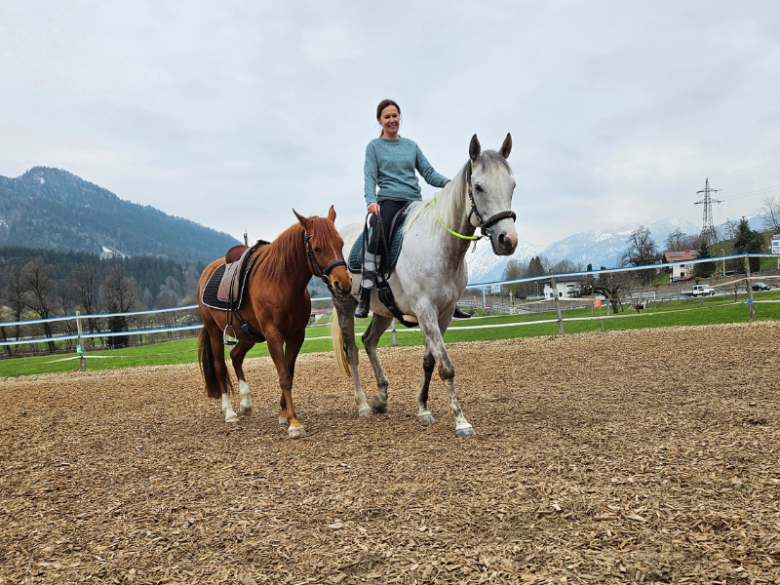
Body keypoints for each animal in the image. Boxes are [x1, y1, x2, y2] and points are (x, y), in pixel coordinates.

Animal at [197, 206, 351, 438]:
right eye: (316, 249)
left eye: (340, 244)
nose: (343, 284)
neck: (281, 281)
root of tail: (207, 273)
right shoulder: (273, 337)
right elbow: (284, 376)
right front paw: (294, 422)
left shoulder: (296, 336)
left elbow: (289, 372)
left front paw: (284, 413)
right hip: (215, 332)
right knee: (220, 367)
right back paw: (229, 412)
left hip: (247, 335)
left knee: (236, 356)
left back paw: (246, 403)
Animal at [330, 134, 518, 438]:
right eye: (478, 187)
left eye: (512, 185)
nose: (507, 240)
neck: (440, 244)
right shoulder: (425, 311)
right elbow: (446, 367)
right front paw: (461, 422)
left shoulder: (443, 314)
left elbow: (430, 362)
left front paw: (423, 409)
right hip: (344, 304)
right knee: (352, 349)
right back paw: (363, 405)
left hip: (384, 310)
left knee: (369, 341)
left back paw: (381, 397)